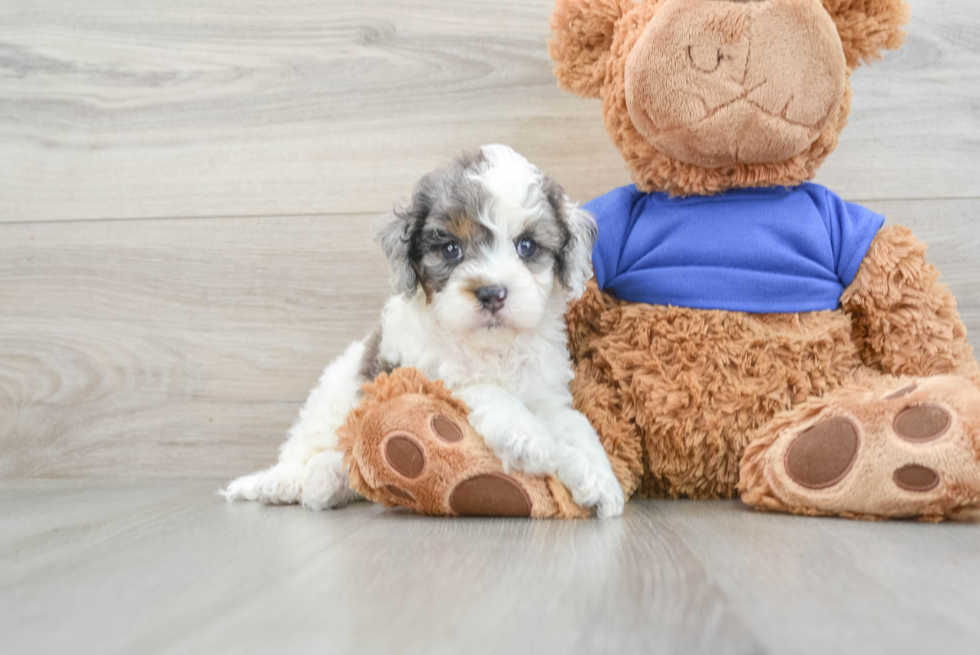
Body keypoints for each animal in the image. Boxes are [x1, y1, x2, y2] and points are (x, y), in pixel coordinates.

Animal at [223, 146, 624, 520]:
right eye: (450, 249)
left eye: (526, 246)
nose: (492, 293)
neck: (491, 347)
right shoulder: (418, 371)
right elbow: (479, 388)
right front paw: (528, 437)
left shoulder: (545, 392)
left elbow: (575, 424)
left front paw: (599, 479)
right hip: (328, 404)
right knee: (305, 451)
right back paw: (288, 481)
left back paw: (326, 480)